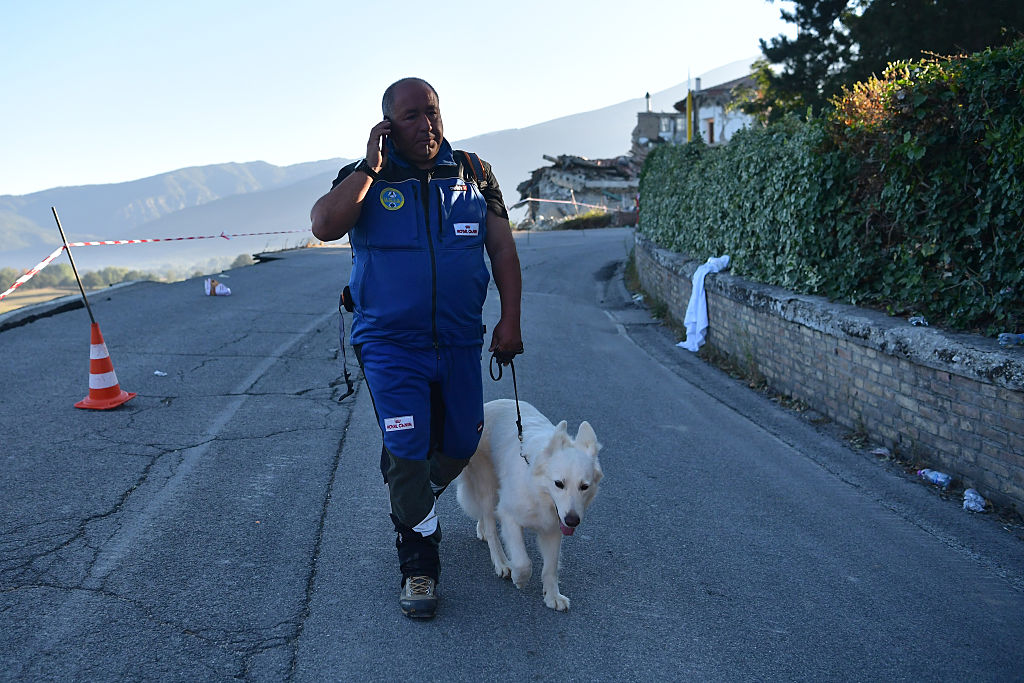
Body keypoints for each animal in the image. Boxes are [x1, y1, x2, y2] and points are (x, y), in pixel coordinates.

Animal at [454, 397, 598, 610]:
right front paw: (519, 578)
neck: (538, 490)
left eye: (584, 486)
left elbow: (551, 567)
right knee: (491, 526)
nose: (573, 521)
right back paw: (502, 562)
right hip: (488, 487)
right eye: (559, 484)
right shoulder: (509, 516)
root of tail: (488, 405)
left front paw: (552, 596)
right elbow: (523, 562)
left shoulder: (554, 528)